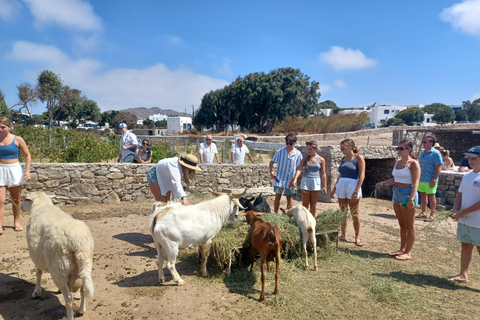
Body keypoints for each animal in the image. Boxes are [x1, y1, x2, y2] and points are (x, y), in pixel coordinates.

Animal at [22, 192, 94, 320]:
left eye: (24, 199)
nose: (20, 206)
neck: (41, 205)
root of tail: (78, 243)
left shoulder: (37, 256)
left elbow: (38, 272)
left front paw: (36, 292)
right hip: (84, 264)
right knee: (83, 289)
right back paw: (81, 309)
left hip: (59, 267)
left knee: (69, 298)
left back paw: (70, 316)